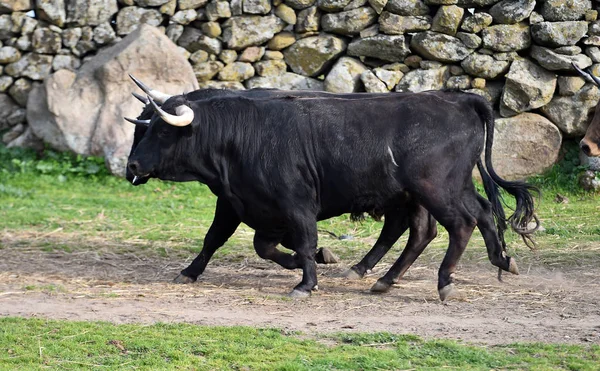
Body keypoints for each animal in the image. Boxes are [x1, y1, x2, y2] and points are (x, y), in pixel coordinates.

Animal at [126, 85, 540, 300]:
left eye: (159, 130)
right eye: (141, 128)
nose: (131, 166)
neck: (242, 135)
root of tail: (459, 98)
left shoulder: (295, 203)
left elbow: (303, 241)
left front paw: (306, 283)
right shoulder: (242, 204)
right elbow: (240, 242)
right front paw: (190, 271)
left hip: (436, 188)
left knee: (460, 224)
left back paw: (445, 282)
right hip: (438, 190)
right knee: (457, 220)